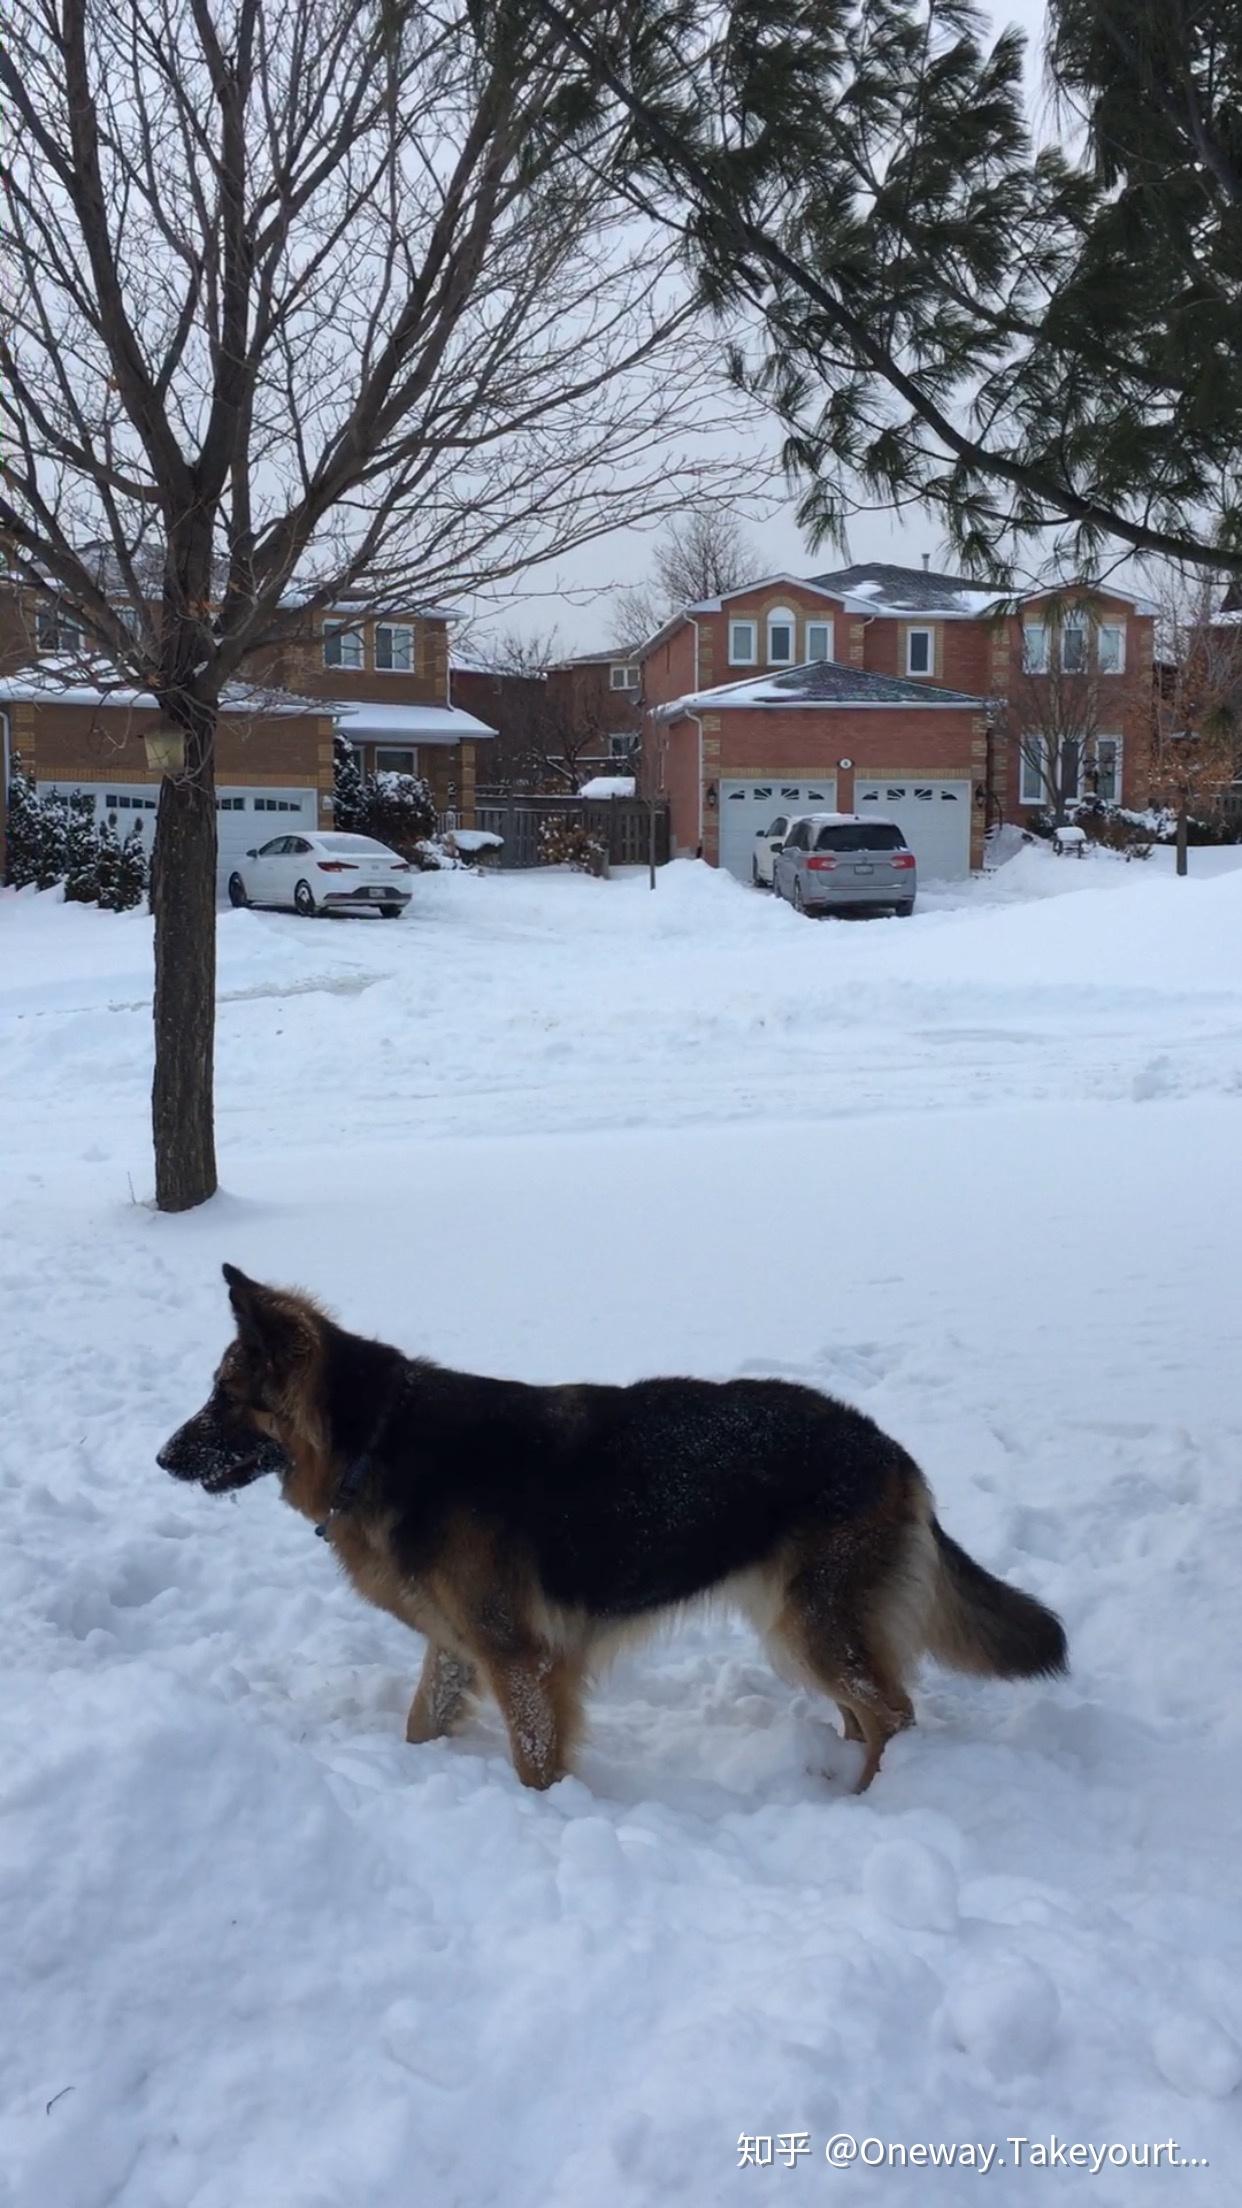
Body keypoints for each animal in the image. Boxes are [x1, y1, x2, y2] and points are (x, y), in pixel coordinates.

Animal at [156, 1280, 1065, 1792]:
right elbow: (421, 1722)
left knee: (895, 1714)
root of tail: (890, 1449)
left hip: (812, 1627)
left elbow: (534, 1762)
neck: (380, 1441)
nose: (162, 1457)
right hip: (813, 1628)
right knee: (865, 1712)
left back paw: (875, 1801)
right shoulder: (457, 1646)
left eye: (225, 1396)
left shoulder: (521, 1661)